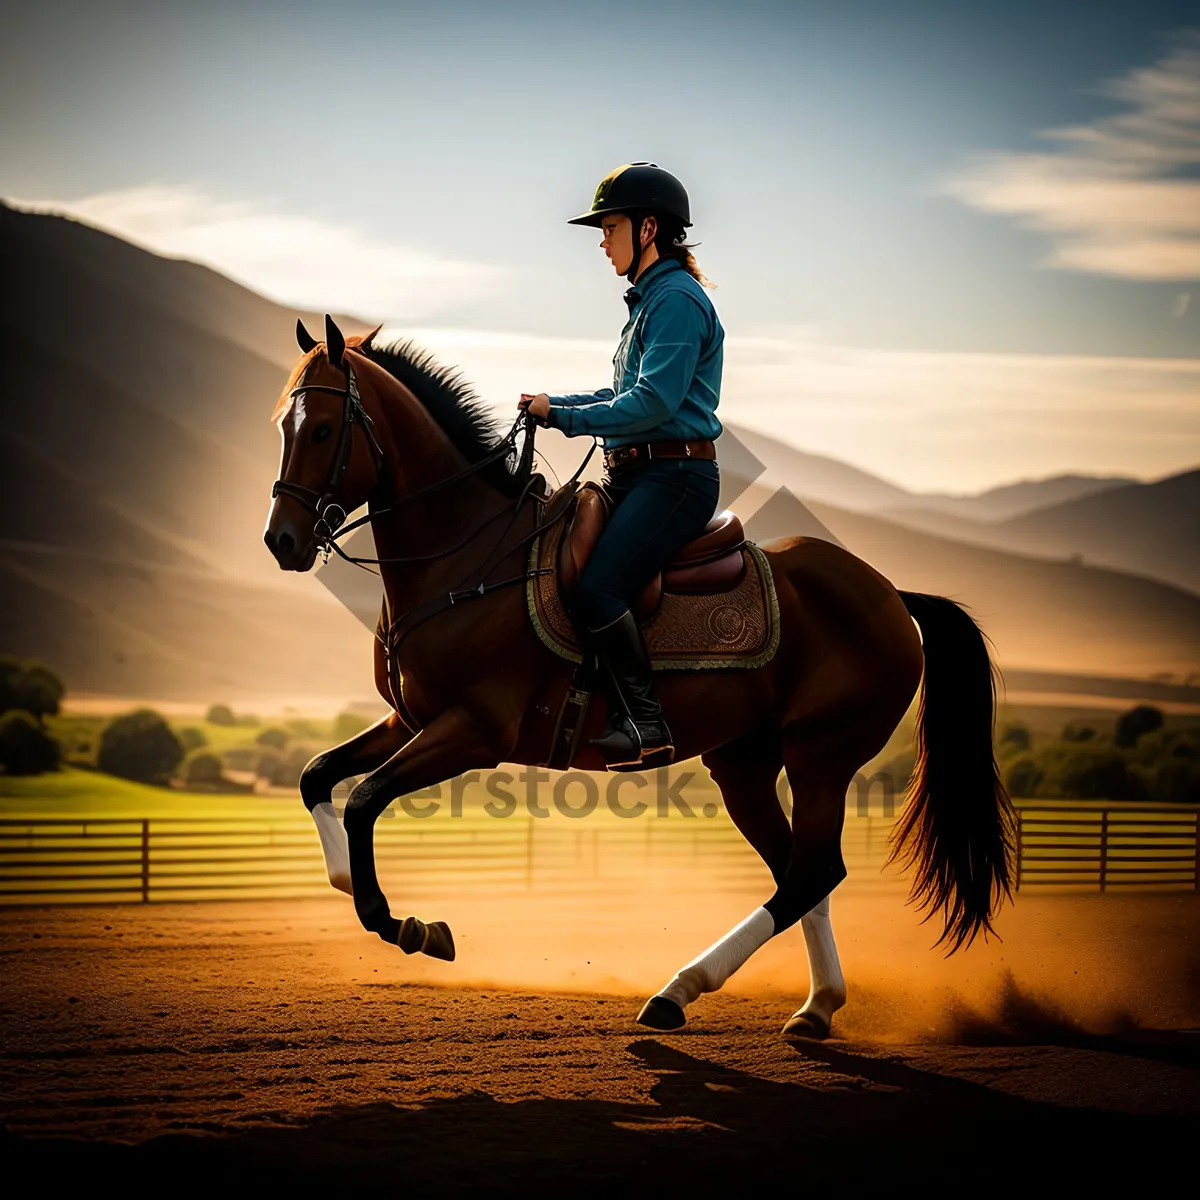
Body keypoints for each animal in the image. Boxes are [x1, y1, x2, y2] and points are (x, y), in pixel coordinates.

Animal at [260, 314, 1012, 1036]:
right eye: (282, 425)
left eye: (323, 428)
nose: (281, 541)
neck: (469, 556)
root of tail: (891, 596)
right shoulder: (410, 719)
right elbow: (317, 776)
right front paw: (348, 884)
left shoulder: (473, 731)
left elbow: (364, 800)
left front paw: (410, 927)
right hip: (745, 762)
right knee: (802, 872)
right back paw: (814, 1006)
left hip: (820, 754)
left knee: (811, 871)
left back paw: (679, 991)